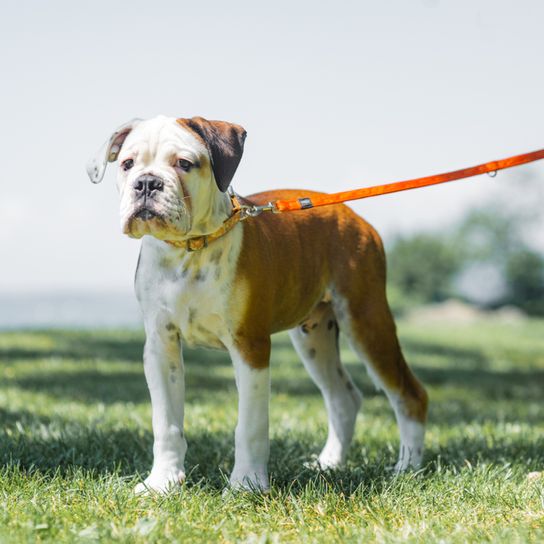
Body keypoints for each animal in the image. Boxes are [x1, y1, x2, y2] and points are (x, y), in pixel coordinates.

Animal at [86, 117, 430, 496]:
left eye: (184, 164)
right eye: (127, 164)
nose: (147, 183)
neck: (191, 248)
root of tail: (351, 214)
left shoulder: (249, 346)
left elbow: (249, 425)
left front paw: (246, 485)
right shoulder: (161, 348)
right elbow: (166, 423)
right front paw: (162, 482)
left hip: (366, 321)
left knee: (410, 395)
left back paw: (407, 469)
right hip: (314, 336)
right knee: (344, 398)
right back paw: (328, 464)